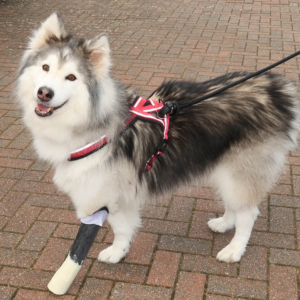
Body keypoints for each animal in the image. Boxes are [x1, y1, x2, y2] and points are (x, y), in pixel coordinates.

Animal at [15, 12, 300, 264]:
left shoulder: (108, 193)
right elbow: (124, 225)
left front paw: (116, 253)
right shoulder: (120, 192)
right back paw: (224, 223)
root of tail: (278, 88)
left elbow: (119, 227)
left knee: (248, 213)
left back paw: (234, 250)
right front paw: (121, 250)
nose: (44, 93)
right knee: (235, 205)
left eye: (71, 77)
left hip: (240, 171)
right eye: (45, 67)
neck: (89, 122)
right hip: (225, 167)